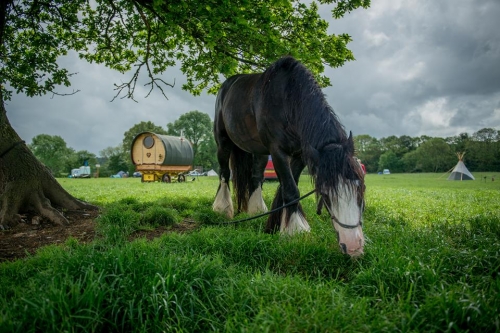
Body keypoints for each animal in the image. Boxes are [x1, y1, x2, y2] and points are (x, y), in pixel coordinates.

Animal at [213, 55, 366, 255]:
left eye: (361, 188)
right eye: (325, 194)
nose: (353, 246)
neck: (288, 99)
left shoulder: (300, 155)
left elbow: (287, 187)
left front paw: (276, 224)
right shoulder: (277, 151)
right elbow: (291, 190)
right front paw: (295, 231)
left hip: (259, 152)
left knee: (255, 178)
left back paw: (256, 210)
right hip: (223, 142)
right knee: (224, 173)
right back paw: (222, 208)